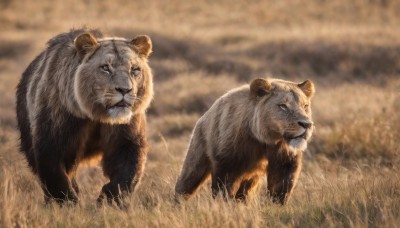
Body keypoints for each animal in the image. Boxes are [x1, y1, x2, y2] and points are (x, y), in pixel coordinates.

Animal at [16, 27, 153, 206]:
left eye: (134, 69)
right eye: (105, 67)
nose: (125, 90)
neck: (96, 114)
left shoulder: (127, 139)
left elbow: (126, 176)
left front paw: (108, 200)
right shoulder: (51, 141)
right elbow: (55, 177)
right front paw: (67, 203)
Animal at [175, 77, 316, 204]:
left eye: (305, 106)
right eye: (283, 106)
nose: (307, 124)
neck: (264, 140)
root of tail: (202, 117)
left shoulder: (284, 161)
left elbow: (279, 190)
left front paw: (276, 206)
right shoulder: (227, 163)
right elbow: (223, 190)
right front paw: (223, 206)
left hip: (252, 178)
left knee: (244, 194)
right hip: (196, 161)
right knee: (185, 184)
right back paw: (178, 205)